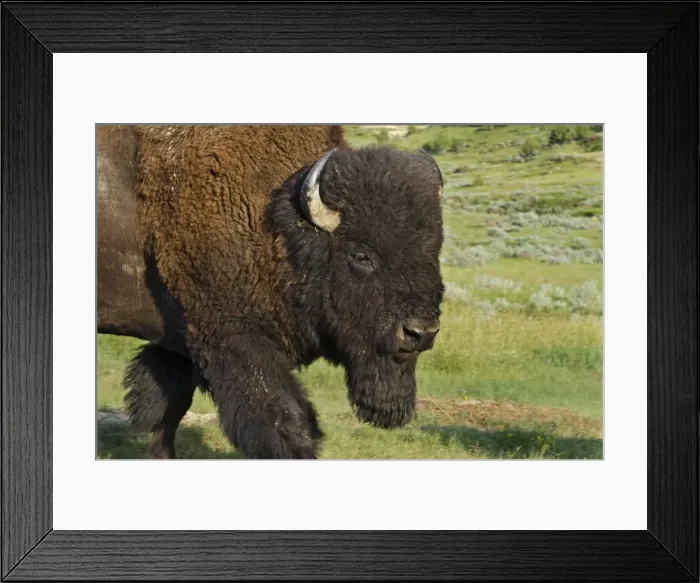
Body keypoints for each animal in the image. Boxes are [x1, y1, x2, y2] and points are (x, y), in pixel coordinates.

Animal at [97, 124, 444, 459]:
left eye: (434, 249)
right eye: (361, 255)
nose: (420, 332)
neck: (279, 227)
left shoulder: (178, 342)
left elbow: (168, 408)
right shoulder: (234, 339)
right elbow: (285, 422)